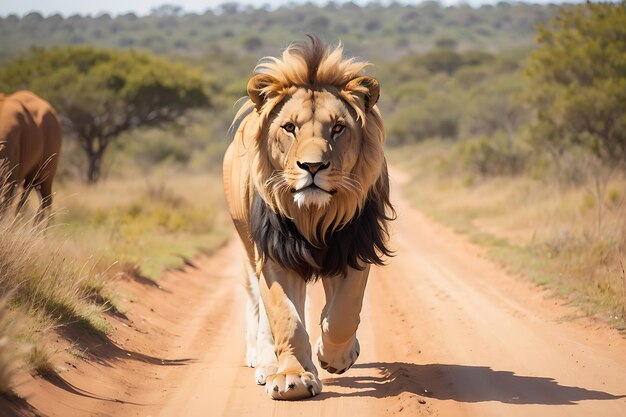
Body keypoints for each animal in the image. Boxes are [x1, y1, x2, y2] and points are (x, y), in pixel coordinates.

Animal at [222, 36, 392, 400]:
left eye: (338, 128)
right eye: (289, 128)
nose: (312, 167)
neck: (315, 216)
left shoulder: (353, 248)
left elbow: (343, 314)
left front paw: (335, 356)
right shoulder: (274, 255)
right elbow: (286, 318)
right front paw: (293, 378)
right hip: (249, 249)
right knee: (261, 309)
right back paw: (265, 363)